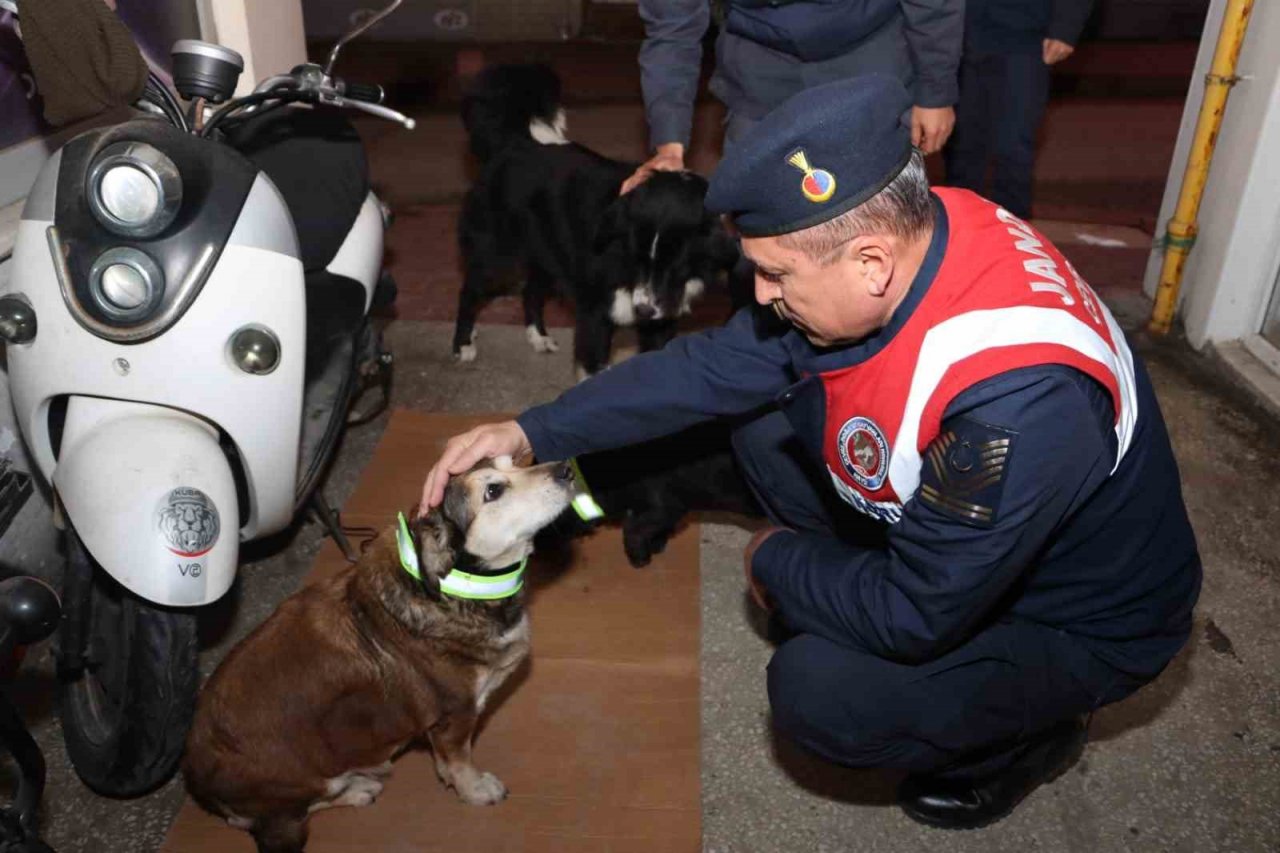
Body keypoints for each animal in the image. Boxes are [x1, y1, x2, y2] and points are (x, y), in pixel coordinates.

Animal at [184, 458, 576, 850]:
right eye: (493, 490)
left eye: (514, 463)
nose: (567, 470)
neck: (460, 587)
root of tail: (197, 782)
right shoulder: (455, 717)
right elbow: (459, 764)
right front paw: (476, 790)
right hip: (307, 783)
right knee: (276, 818)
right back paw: (358, 789)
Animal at [453, 63, 742, 376]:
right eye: (637, 257)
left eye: (676, 264)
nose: (643, 310)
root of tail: (514, 143)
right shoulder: (595, 315)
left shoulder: (659, 322)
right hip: (497, 255)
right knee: (469, 291)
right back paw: (463, 344)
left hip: (548, 255)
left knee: (531, 291)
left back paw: (538, 337)